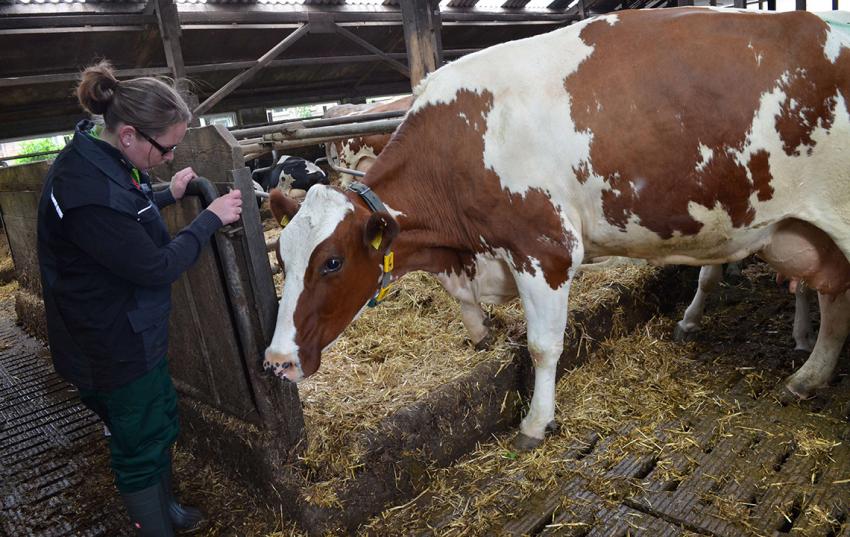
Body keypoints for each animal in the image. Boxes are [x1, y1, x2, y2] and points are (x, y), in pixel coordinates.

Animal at [268, 9, 848, 448]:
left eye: (332, 262)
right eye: (281, 259)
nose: (276, 361)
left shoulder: (543, 247)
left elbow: (544, 345)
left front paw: (535, 422)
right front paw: (481, 333)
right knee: (835, 300)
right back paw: (808, 376)